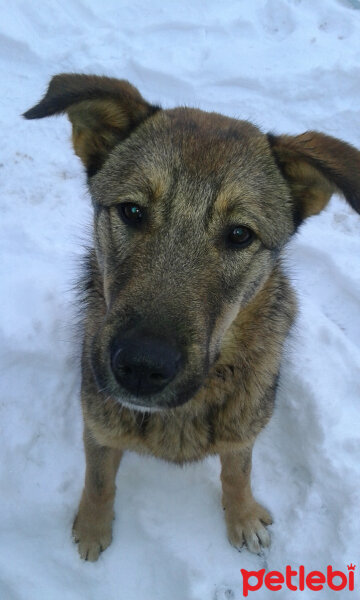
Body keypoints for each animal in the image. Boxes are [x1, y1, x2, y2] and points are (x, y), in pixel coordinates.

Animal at [23, 76, 358, 564]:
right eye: (132, 211)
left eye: (239, 234)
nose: (142, 366)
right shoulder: (99, 425)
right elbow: (99, 480)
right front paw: (92, 528)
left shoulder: (243, 430)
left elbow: (237, 472)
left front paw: (242, 517)